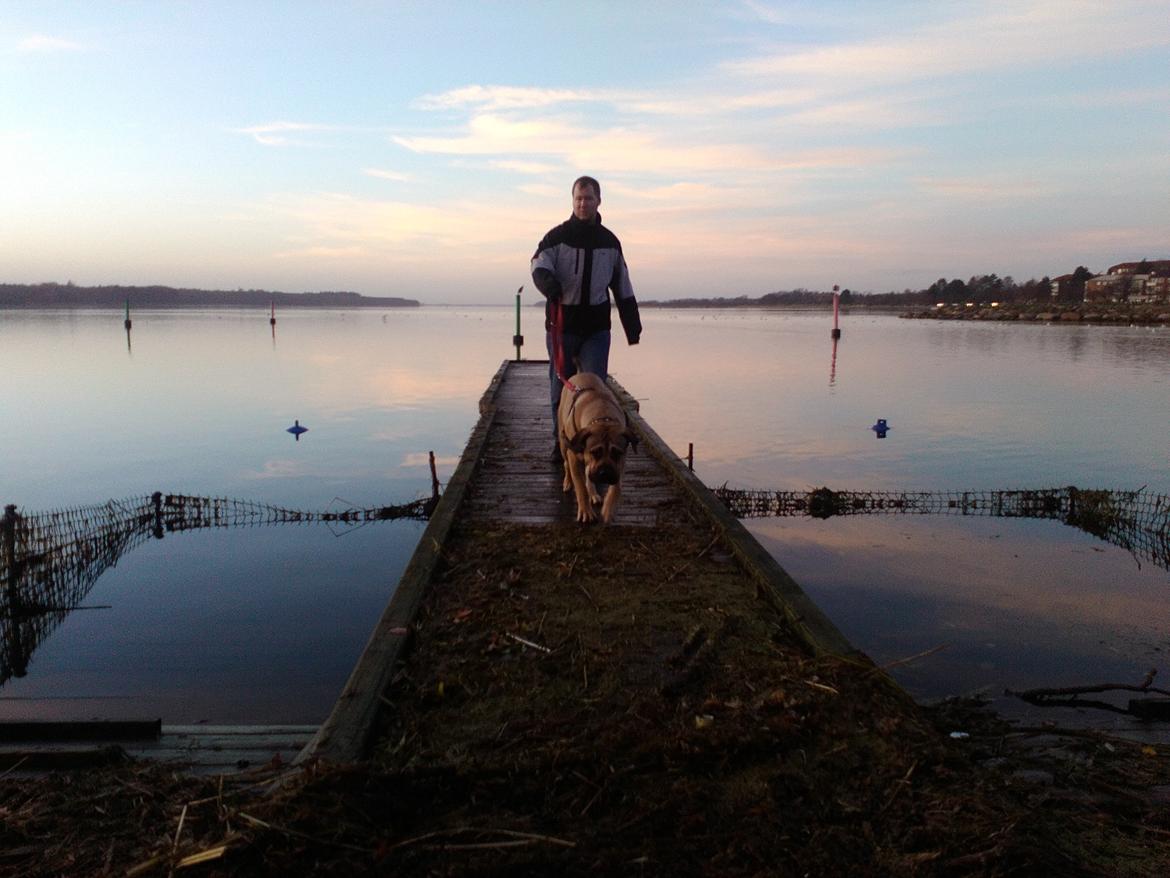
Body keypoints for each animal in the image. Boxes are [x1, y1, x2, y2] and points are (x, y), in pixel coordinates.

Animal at [556, 372, 641, 522]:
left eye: (616, 453)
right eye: (595, 452)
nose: (605, 473)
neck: (603, 417)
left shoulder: (621, 462)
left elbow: (617, 487)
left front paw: (608, 509)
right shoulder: (574, 457)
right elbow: (580, 487)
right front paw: (586, 512)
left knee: (588, 473)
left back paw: (593, 493)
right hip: (563, 445)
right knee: (566, 464)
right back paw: (568, 482)